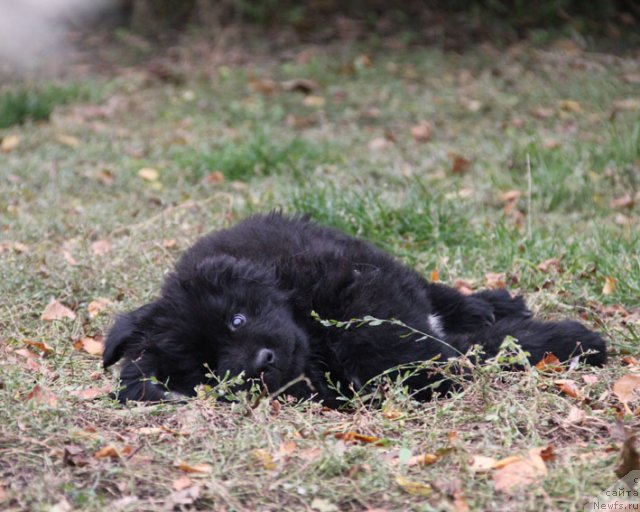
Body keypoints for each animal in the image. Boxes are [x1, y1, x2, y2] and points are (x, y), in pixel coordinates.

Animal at [102, 212, 608, 404]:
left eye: (237, 319)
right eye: (208, 373)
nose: (262, 361)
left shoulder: (360, 282)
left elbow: (386, 331)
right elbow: (457, 350)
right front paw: (568, 341)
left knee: (435, 294)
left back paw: (490, 303)